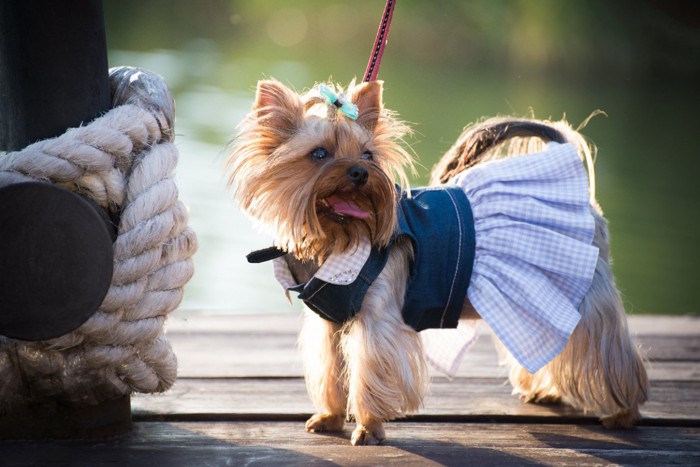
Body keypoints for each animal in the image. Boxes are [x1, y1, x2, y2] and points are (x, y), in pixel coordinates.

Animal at [230, 79, 652, 446]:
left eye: (368, 154)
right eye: (318, 154)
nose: (360, 172)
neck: (337, 239)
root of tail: (580, 195)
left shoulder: (377, 320)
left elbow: (368, 371)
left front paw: (369, 428)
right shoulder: (330, 325)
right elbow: (333, 370)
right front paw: (330, 416)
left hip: (584, 293)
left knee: (603, 346)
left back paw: (623, 412)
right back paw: (546, 392)